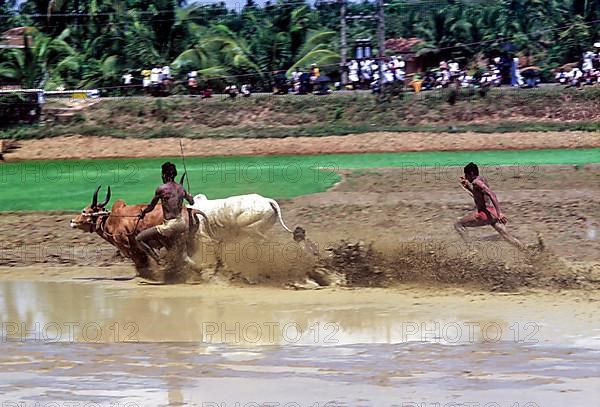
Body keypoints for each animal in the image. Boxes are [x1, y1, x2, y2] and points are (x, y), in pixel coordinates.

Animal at [68, 187, 199, 280]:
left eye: (85, 211)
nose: (72, 221)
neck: (110, 220)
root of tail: (189, 210)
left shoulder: (129, 247)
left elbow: (142, 263)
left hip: (171, 241)